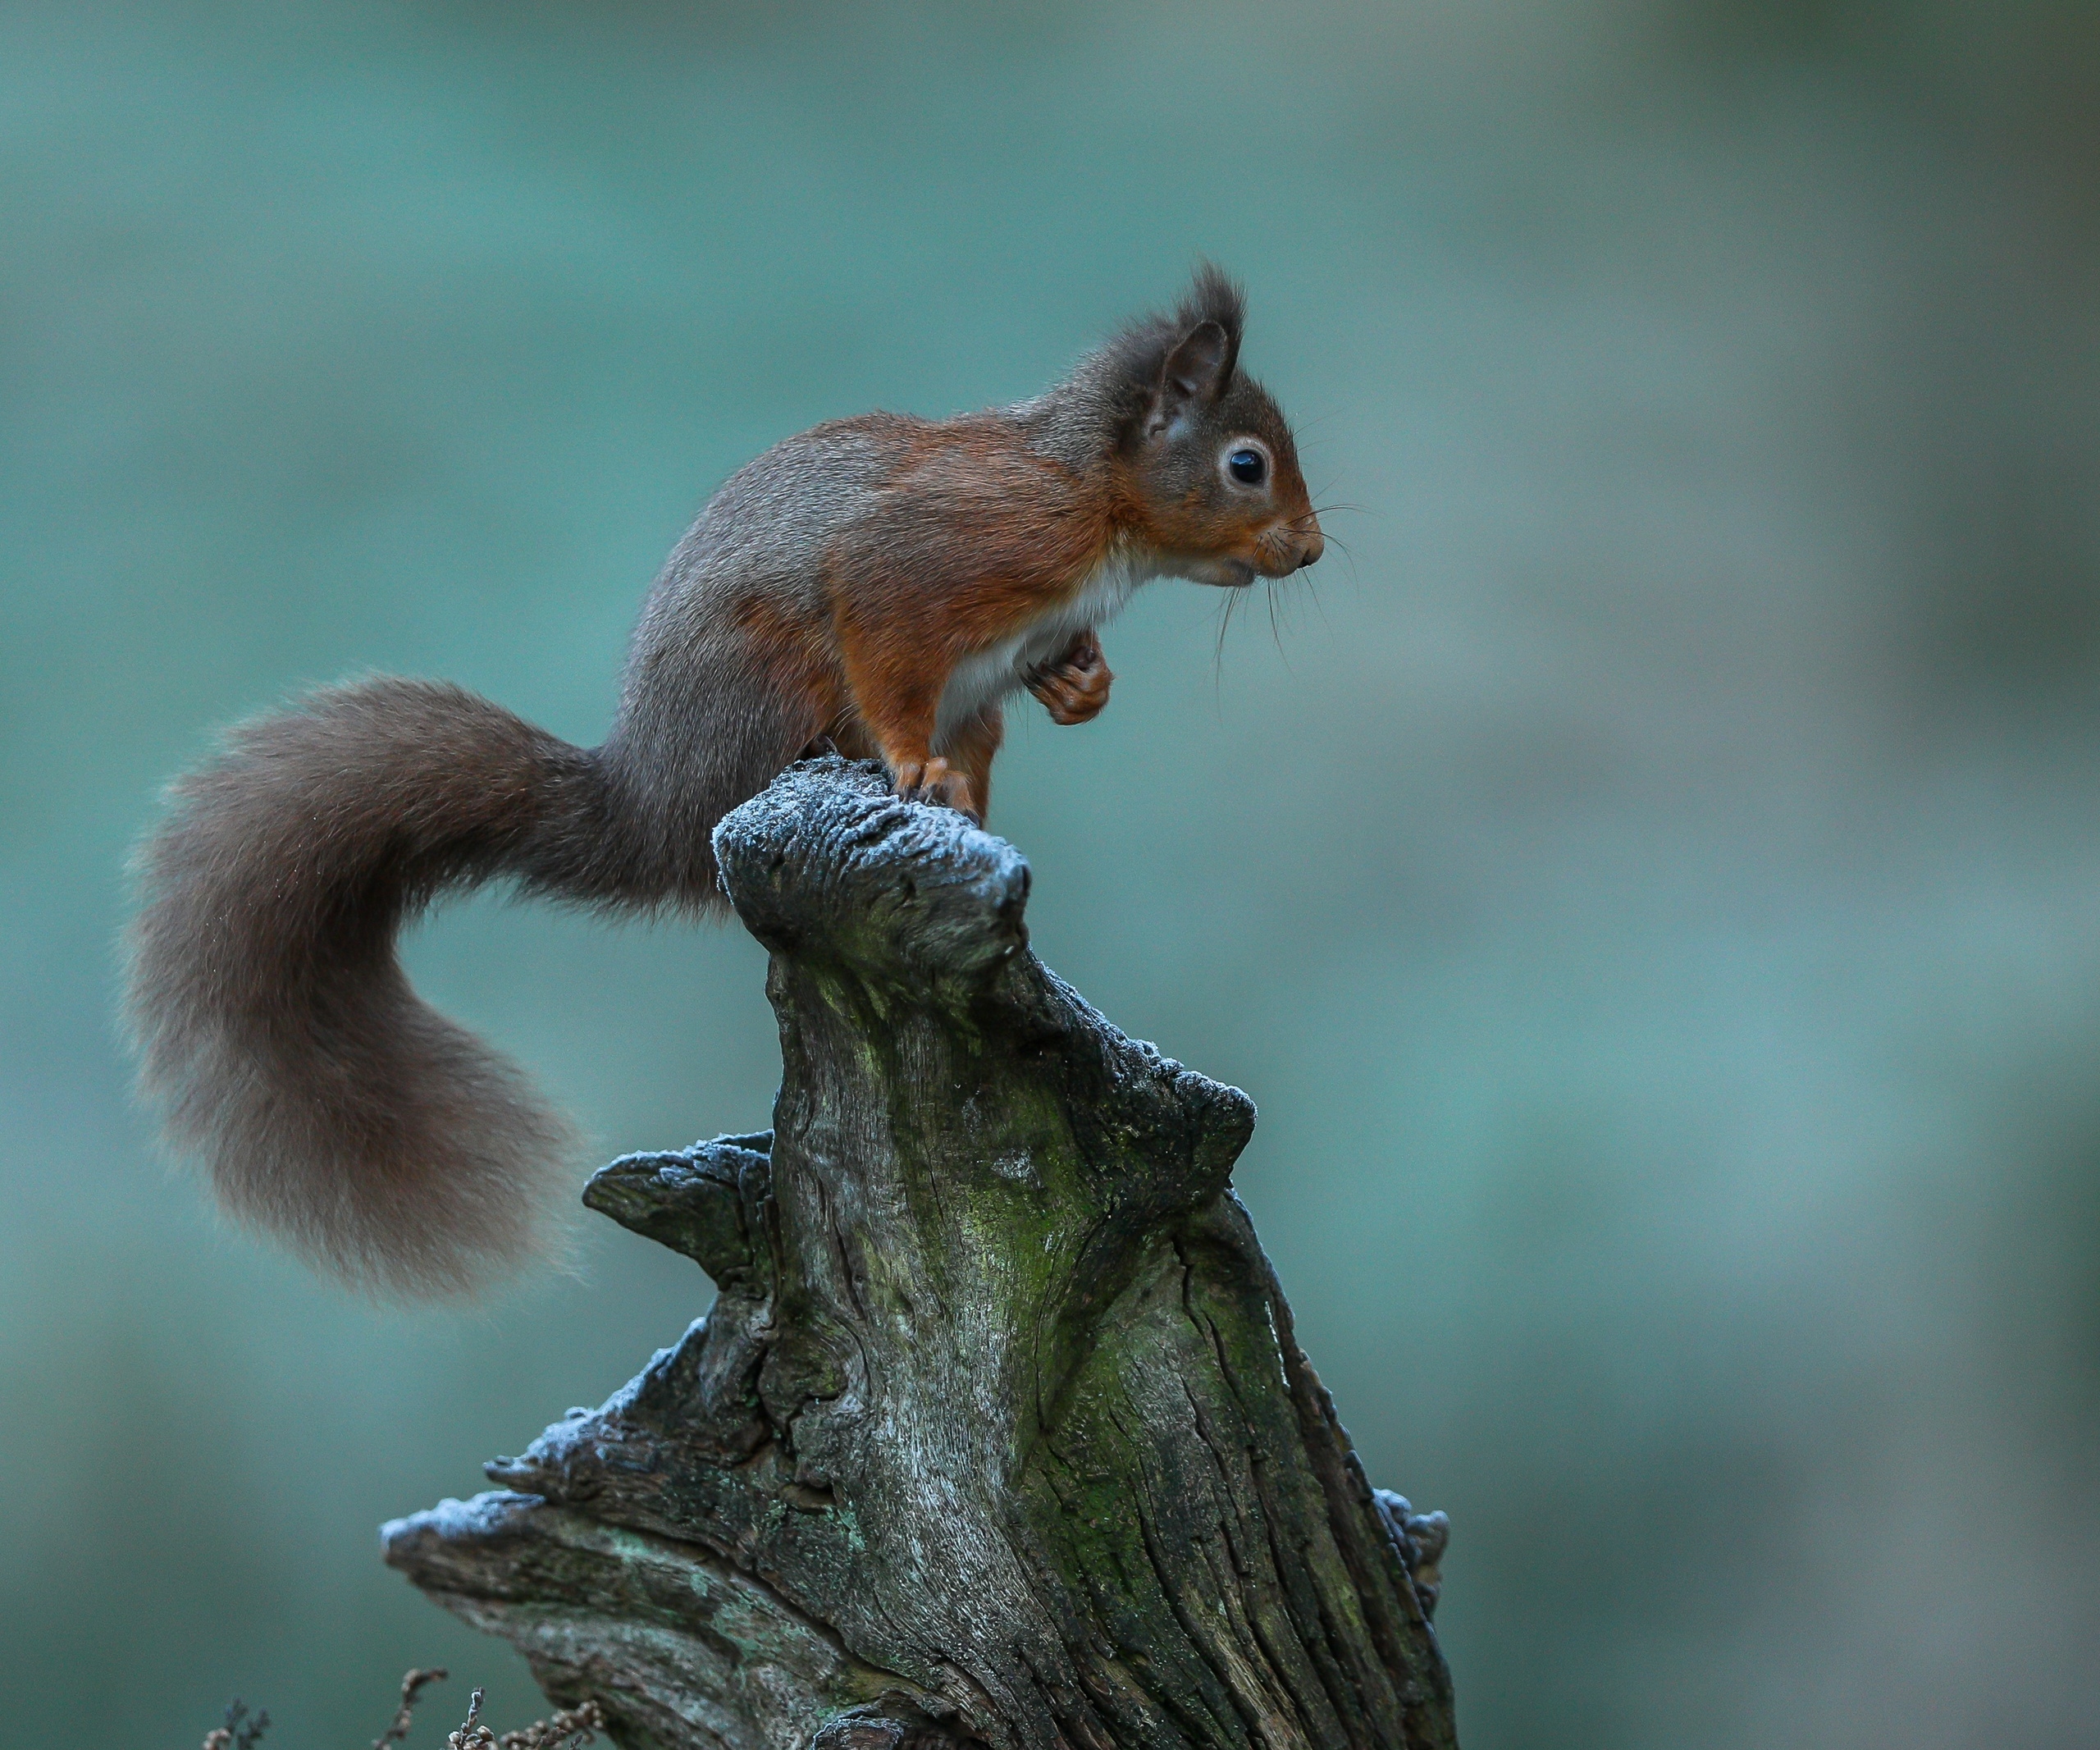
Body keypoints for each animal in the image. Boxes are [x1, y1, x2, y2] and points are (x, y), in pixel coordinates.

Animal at [125, 265, 1323, 1296]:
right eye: (1246, 464)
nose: (1311, 550)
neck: (1090, 495)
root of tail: (654, 799)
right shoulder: (932, 556)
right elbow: (886, 639)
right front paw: (910, 757)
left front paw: (1084, 685)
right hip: (774, 677)